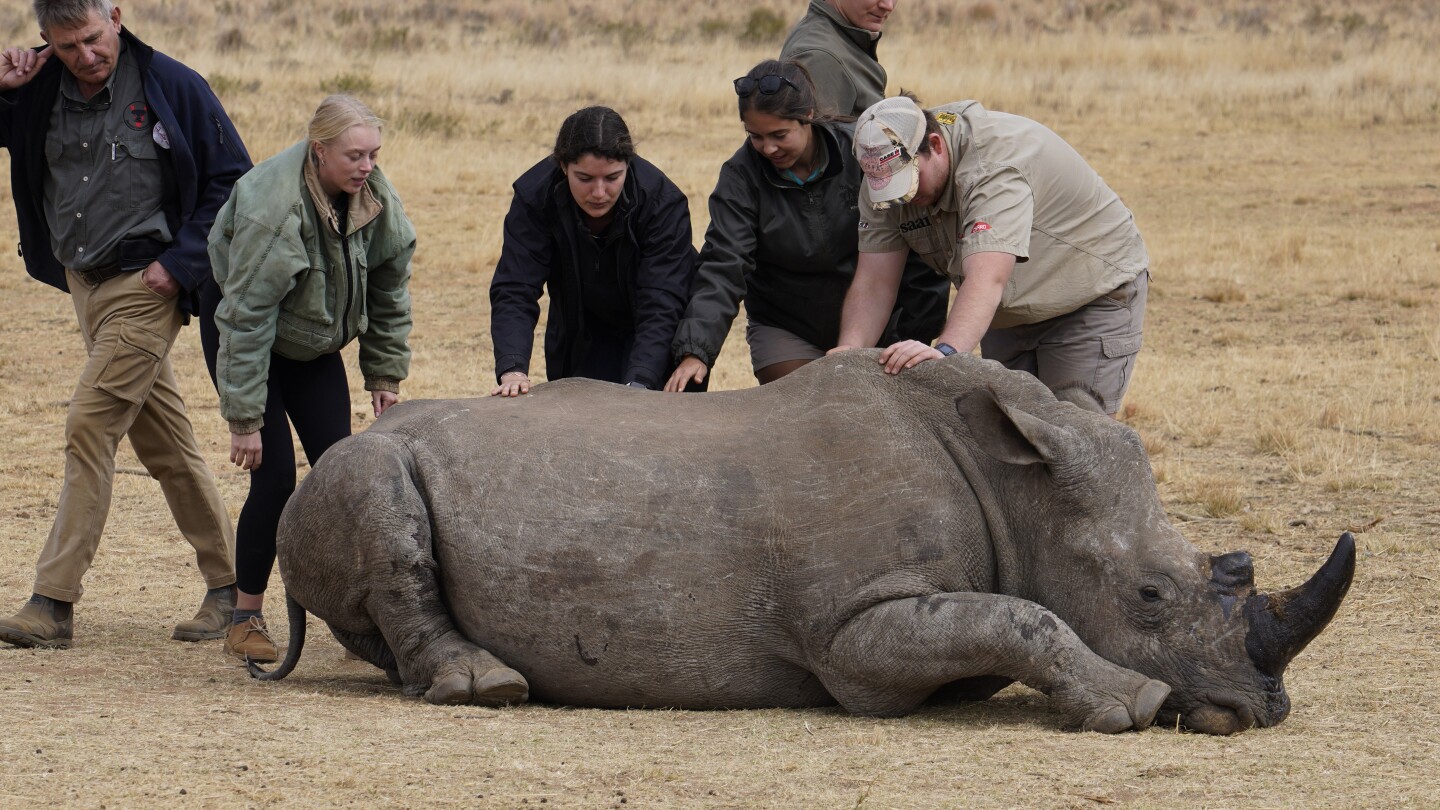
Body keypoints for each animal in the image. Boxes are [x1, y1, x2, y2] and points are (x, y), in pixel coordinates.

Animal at [256, 351, 1347, 732]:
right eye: (1152, 598)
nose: (1259, 711)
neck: (1017, 487)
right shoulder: (850, 635)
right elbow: (1022, 619)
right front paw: (1133, 704)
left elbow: (1008, 620)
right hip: (357, 459)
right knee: (374, 491)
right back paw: (488, 688)